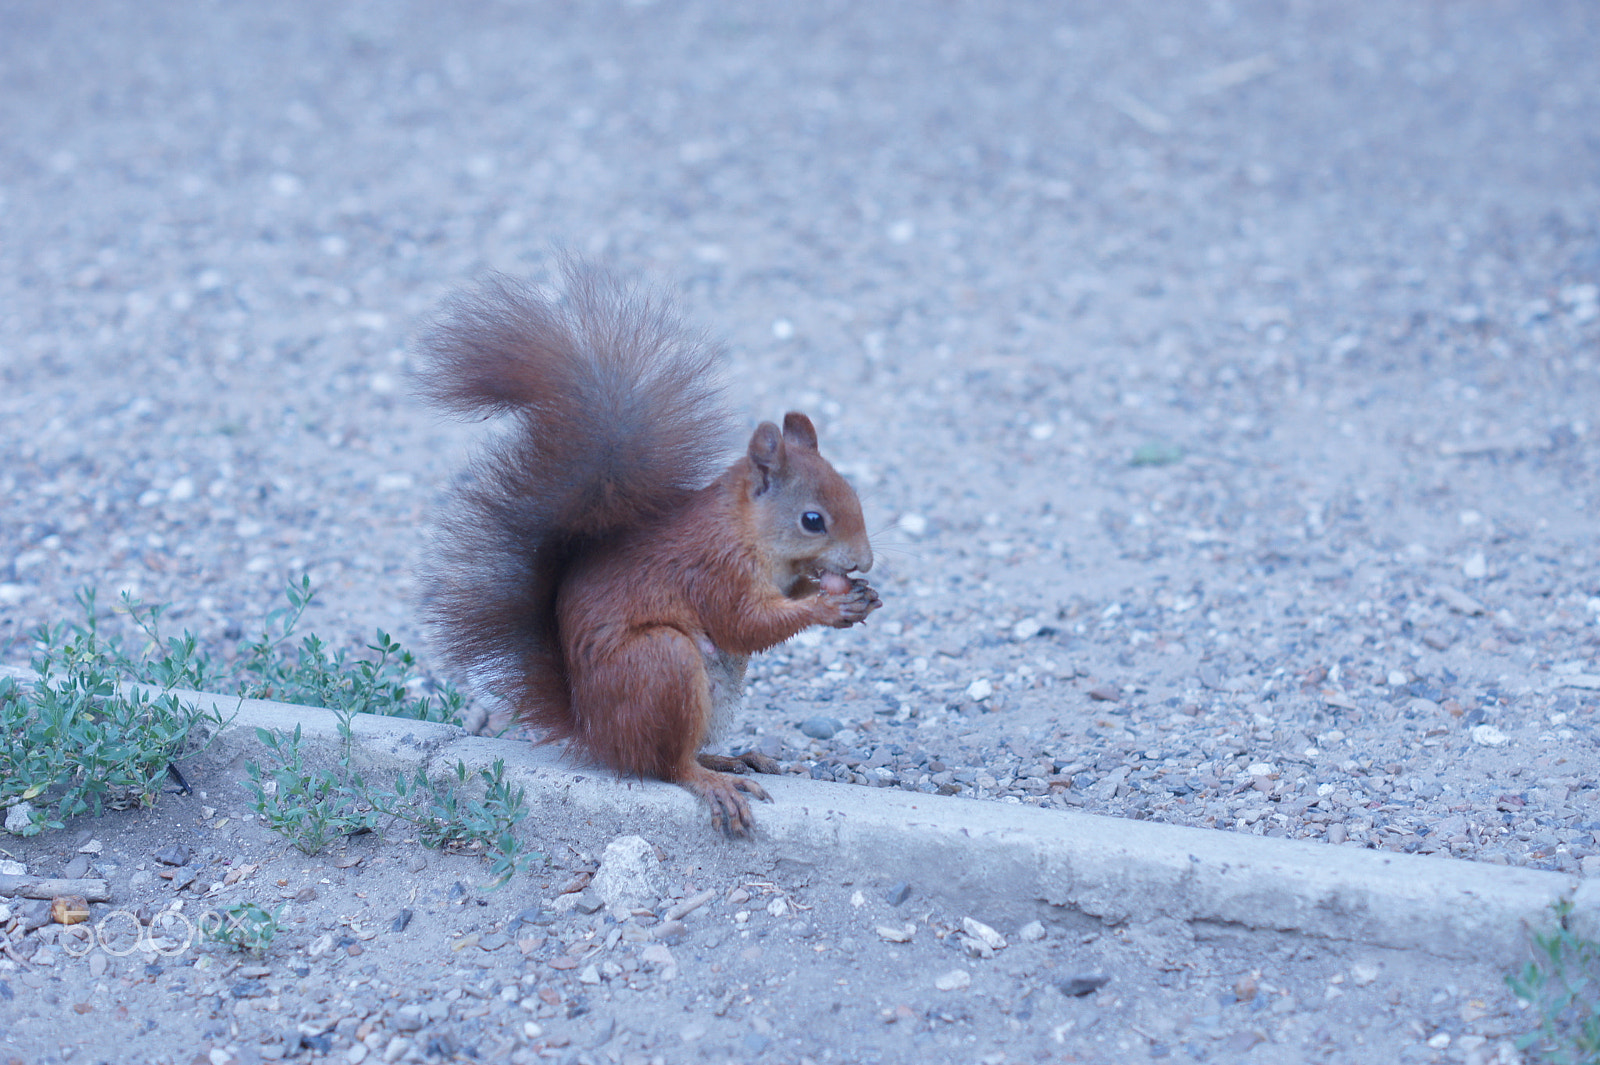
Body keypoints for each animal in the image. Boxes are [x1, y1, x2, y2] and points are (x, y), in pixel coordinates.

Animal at [412, 260, 883, 831]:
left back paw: (733, 758)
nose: (864, 562)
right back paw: (713, 780)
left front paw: (850, 593)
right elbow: (744, 624)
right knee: (666, 765)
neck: (746, 529)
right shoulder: (715, 569)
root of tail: (594, 733)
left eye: (853, 493)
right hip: (662, 664)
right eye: (813, 520)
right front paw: (829, 605)